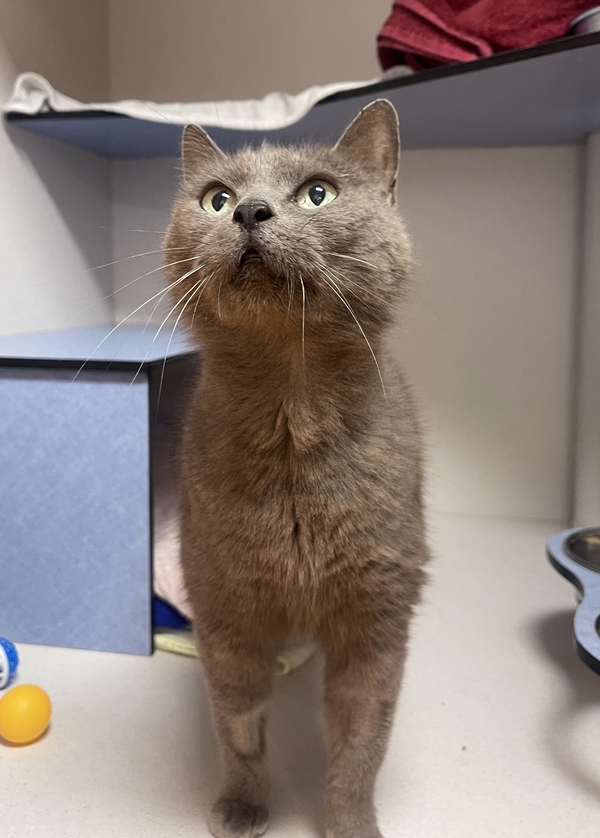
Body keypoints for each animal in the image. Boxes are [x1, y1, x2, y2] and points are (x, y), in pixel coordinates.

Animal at [163, 99, 429, 838]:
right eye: (215, 199)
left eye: (318, 193)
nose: (249, 211)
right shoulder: (227, 609)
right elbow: (239, 725)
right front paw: (243, 806)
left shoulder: (376, 617)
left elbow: (363, 741)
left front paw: (350, 823)